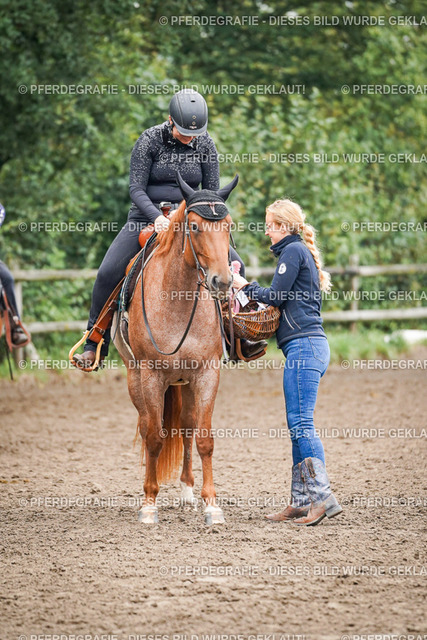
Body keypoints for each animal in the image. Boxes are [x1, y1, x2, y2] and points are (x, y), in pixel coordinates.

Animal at [113, 172, 238, 524]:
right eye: (194, 226)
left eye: (229, 226)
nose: (222, 282)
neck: (177, 302)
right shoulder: (152, 376)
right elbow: (155, 437)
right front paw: (149, 504)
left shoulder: (207, 374)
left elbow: (204, 439)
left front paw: (212, 506)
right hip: (136, 379)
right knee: (147, 428)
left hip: (184, 384)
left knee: (186, 428)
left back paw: (187, 491)